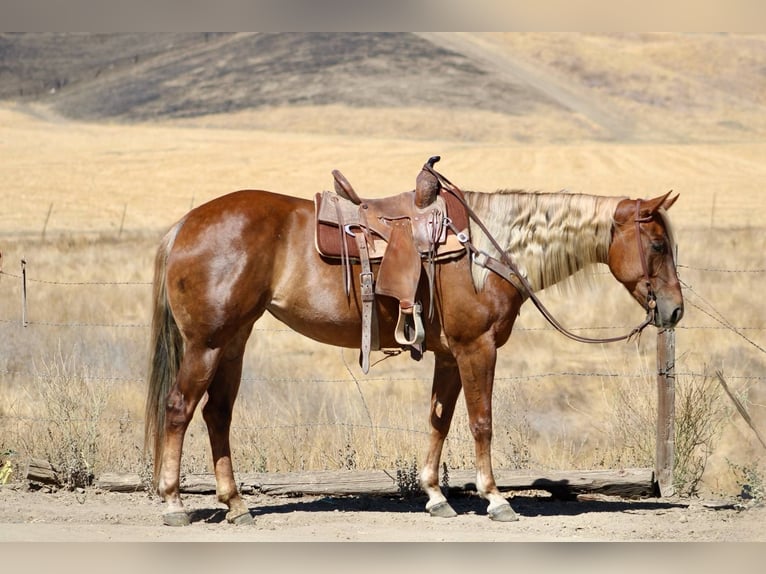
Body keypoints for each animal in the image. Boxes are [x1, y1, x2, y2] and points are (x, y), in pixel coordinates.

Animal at [144, 168, 683, 526]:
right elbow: (481, 423)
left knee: (217, 414)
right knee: (179, 409)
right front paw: (496, 499)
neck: (485, 251)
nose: (675, 310)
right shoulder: (477, 349)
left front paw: (435, 496)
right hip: (207, 344)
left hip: (233, 342)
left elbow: (438, 421)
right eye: (658, 245)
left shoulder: (449, 354)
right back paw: (173, 503)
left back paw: (236, 505)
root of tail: (184, 225)